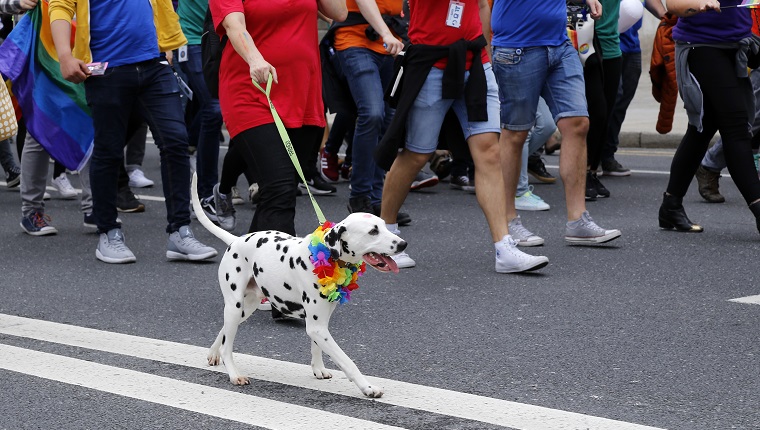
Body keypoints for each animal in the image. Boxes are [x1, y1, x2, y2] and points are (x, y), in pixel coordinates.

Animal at [191, 174, 404, 396]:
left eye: (384, 226)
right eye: (373, 231)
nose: (402, 244)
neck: (327, 255)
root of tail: (236, 241)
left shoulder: (320, 323)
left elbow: (316, 346)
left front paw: (318, 369)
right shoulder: (317, 327)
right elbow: (347, 361)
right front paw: (368, 387)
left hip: (245, 308)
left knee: (225, 330)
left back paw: (213, 353)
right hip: (235, 305)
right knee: (228, 345)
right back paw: (233, 374)